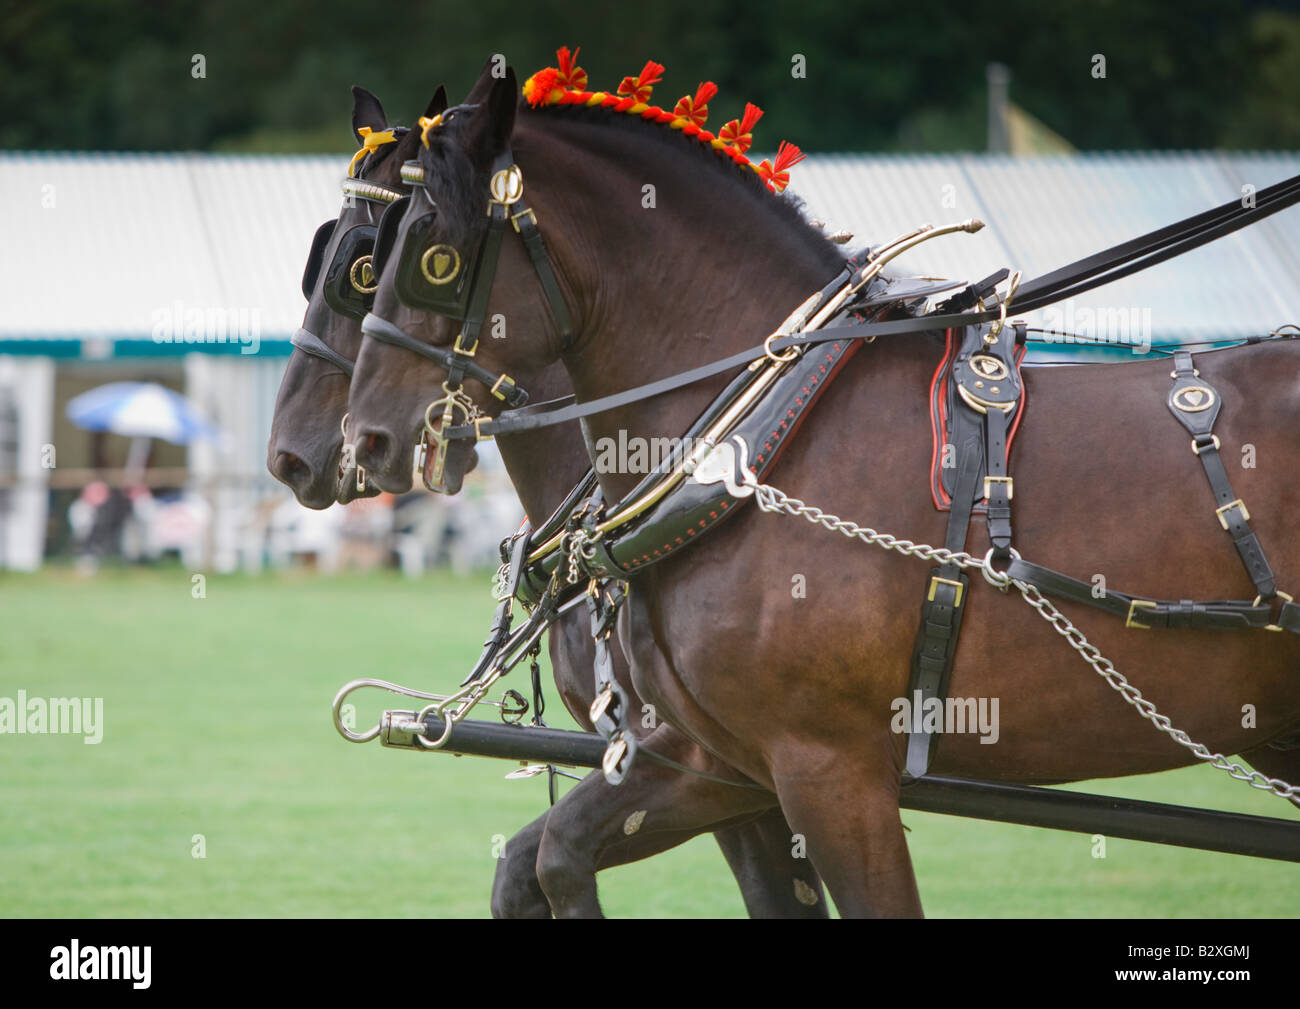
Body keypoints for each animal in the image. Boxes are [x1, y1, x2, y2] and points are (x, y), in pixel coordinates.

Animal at [343, 59, 1300, 920]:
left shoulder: (829, 767)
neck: (760, 435)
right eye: (366, 259)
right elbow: (552, 855)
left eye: (430, 256)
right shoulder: (720, 758)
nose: (361, 440)